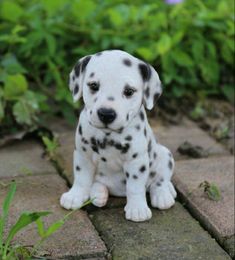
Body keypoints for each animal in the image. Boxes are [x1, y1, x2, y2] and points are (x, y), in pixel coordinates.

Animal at [60, 50, 176, 221]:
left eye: (129, 91)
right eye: (94, 86)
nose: (106, 114)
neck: (108, 135)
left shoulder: (136, 161)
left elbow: (135, 186)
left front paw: (137, 208)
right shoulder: (83, 154)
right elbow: (81, 178)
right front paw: (75, 196)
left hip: (164, 154)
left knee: (160, 180)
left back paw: (163, 194)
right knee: (97, 183)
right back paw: (99, 193)